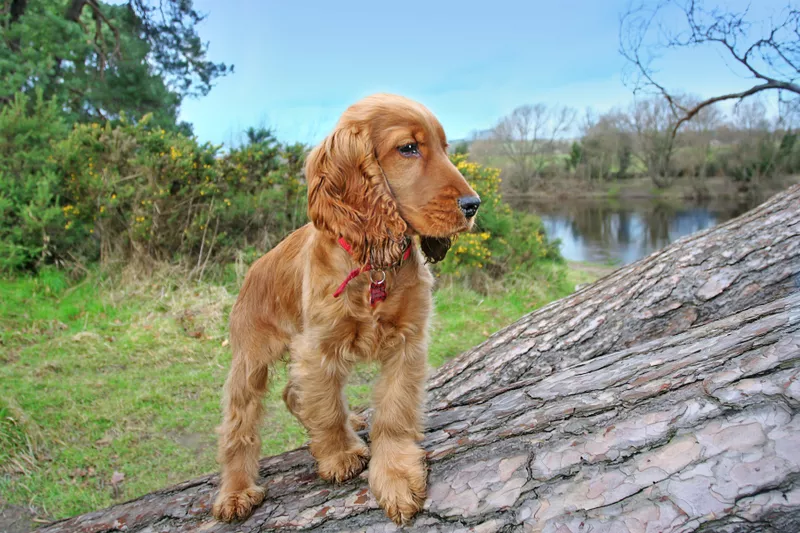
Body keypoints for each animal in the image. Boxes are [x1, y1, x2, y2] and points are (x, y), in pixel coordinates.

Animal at [209, 92, 482, 524]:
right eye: (408, 147)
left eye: (445, 148)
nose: (474, 204)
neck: (374, 266)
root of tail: (253, 268)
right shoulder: (318, 347)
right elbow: (326, 409)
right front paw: (340, 455)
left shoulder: (408, 342)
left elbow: (394, 412)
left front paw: (395, 475)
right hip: (250, 359)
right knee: (239, 425)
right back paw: (235, 491)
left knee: (294, 393)